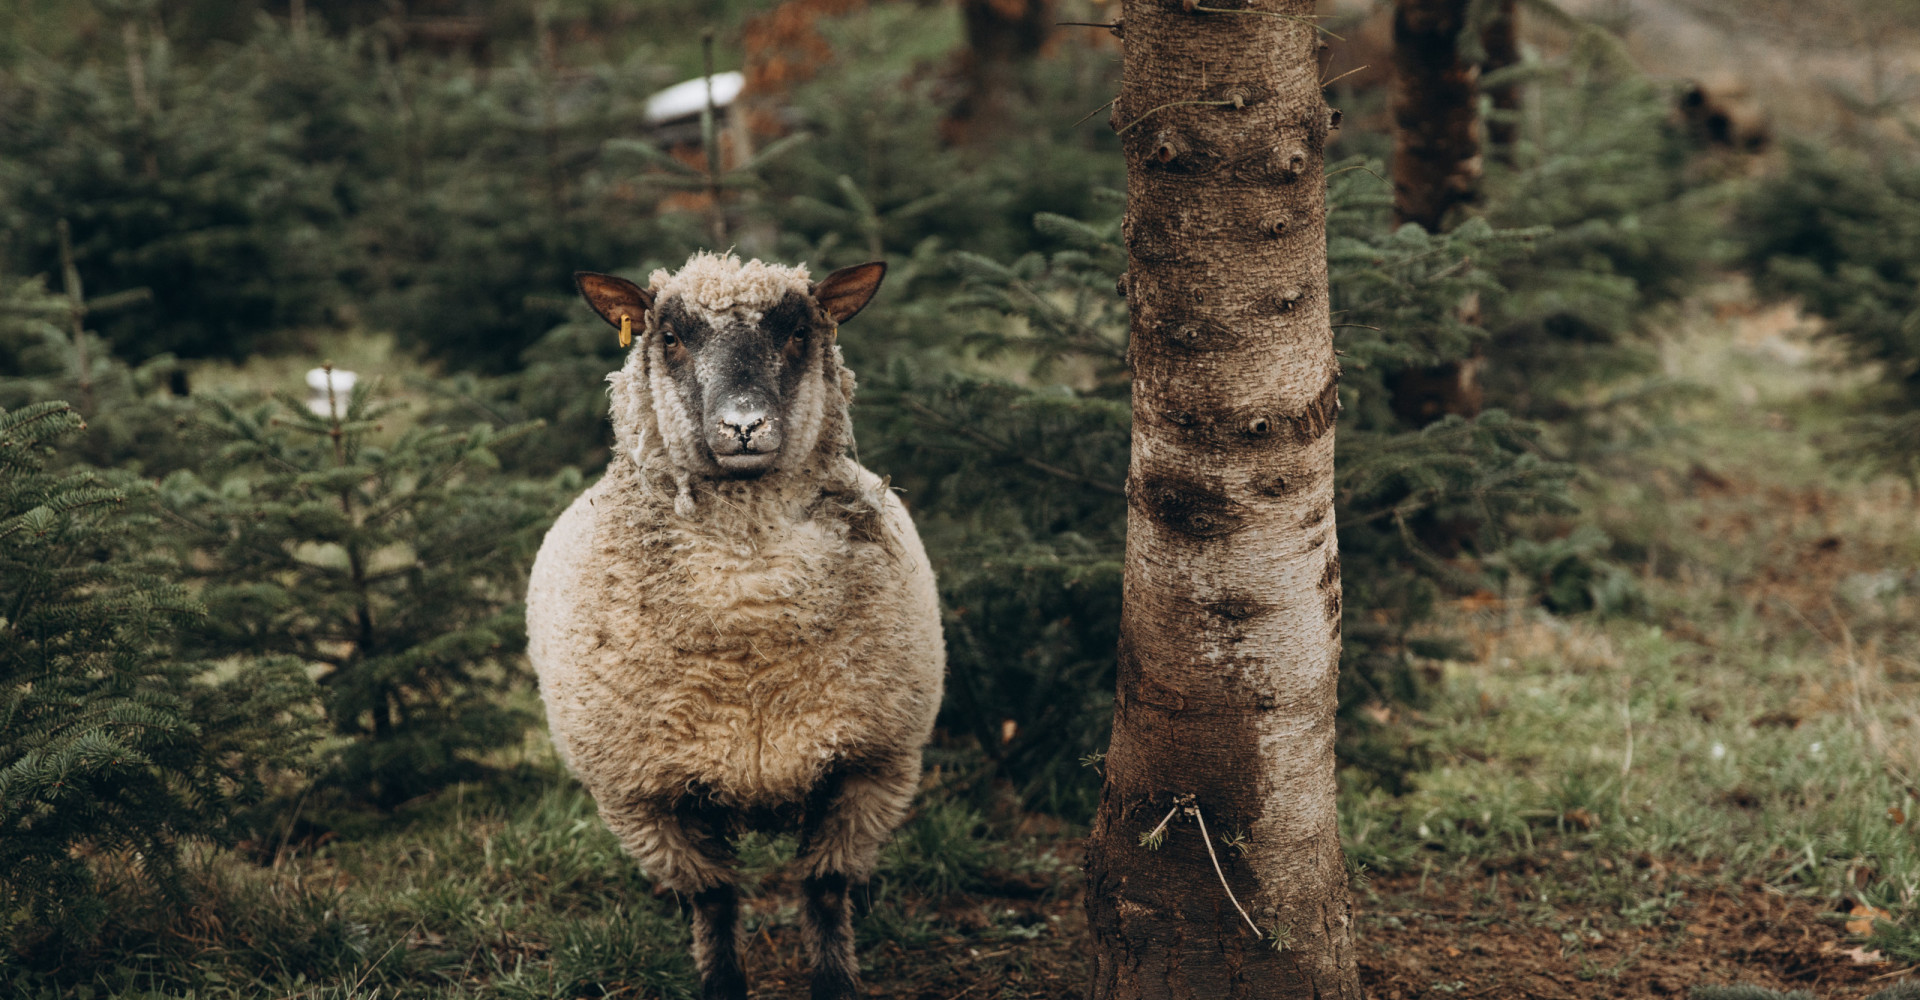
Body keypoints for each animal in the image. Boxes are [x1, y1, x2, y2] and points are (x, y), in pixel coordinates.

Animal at [526, 251, 944, 998]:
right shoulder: (647, 797)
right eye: (669, 338)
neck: (750, 596)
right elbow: (713, 899)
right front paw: (720, 981)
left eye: (799, 333)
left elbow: (826, 888)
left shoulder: (871, 767)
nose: (743, 426)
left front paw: (835, 981)